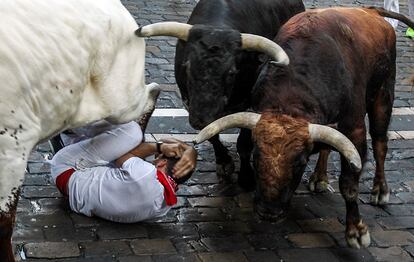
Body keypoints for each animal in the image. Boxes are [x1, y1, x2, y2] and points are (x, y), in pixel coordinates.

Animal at [194, 6, 414, 248]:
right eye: (256, 158)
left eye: (300, 163)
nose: (269, 212)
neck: (293, 93)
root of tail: (370, 11)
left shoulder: (354, 130)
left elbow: (349, 184)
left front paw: (356, 230)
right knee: (327, 147)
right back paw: (319, 178)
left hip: (383, 95)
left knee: (380, 143)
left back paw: (380, 190)